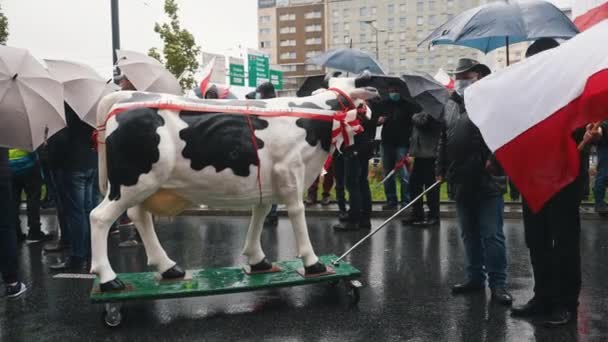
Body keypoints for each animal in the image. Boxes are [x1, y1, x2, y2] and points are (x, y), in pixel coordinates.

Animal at [90, 73, 378, 292]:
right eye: (359, 104)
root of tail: (130, 97)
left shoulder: (268, 179)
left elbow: (260, 212)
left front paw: (258, 260)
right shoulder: (290, 171)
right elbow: (297, 213)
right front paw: (312, 262)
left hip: (144, 184)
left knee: (139, 216)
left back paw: (169, 268)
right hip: (132, 182)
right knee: (100, 217)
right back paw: (108, 279)